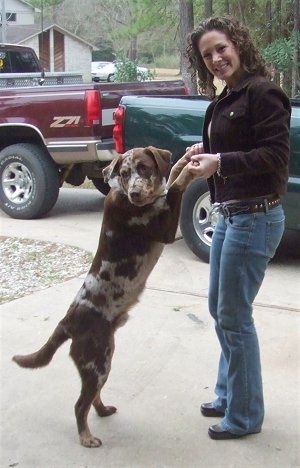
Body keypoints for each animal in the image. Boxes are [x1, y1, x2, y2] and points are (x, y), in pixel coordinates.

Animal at [12, 144, 192, 448]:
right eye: (125, 173)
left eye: (143, 168)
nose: (135, 194)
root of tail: (67, 321)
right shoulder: (166, 230)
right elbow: (177, 186)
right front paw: (189, 170)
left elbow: (173, 176)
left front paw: (184, 161)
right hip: (97, 363)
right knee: (79, 405)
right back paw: (86, 437)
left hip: (104, 359)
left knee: (91, 399)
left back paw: (103, 410)